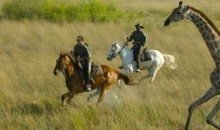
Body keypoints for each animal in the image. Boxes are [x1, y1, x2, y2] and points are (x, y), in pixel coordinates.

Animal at [164, 1, 219, 130]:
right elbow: (193, 107)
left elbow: (209, 117)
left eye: (179, 12)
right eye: (172, 10)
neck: (217, 58)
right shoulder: (215, 88)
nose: (166, 22)